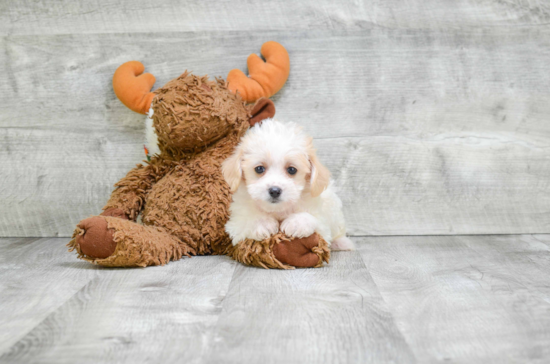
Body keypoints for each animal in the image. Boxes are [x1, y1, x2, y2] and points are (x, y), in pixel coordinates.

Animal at [222, 119, 356, 250]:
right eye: (259, 169)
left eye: (292, 170)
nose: (274, 191)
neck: (278, 211)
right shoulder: (235, 222)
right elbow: (246, 219)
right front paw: (262, 223)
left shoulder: (322, 224)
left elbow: (315, 219)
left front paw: (297, 223)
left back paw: (342, 243)